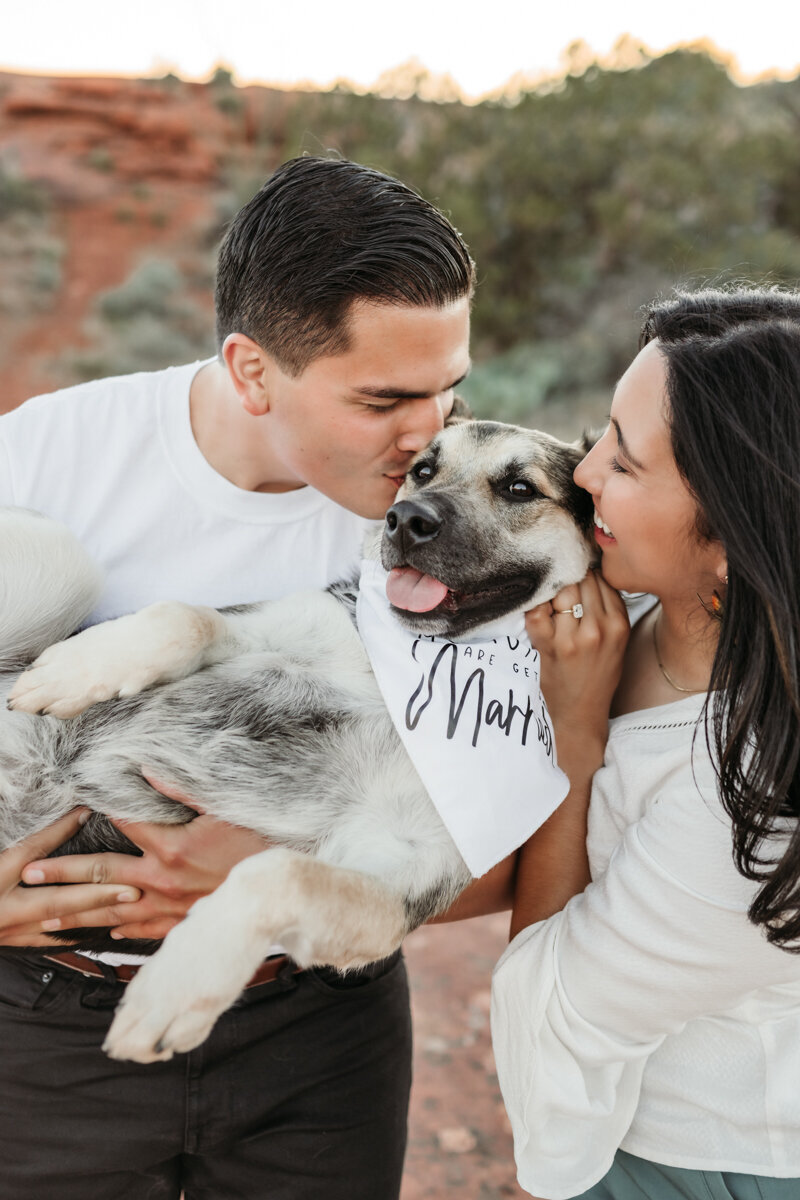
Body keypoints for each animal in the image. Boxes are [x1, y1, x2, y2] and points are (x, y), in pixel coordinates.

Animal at [0, 420, 594, 1060]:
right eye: (423, 470)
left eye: (518, 487)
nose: (405, 519)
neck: (413, 675)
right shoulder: (266, 625)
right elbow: (189, 616)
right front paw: (79, 669)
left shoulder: (400, 883)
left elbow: (280, 874)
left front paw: (177, 988)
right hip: (63, 555)